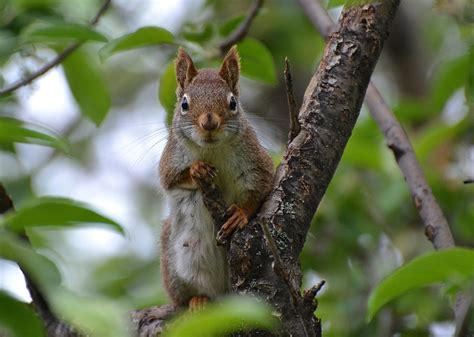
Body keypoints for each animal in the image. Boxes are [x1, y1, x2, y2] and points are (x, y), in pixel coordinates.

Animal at [159, 46, 274, 312]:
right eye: (184, 103)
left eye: (233, 102)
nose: (209, 122)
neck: (211, 151)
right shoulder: (169, 163)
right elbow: (171, 180)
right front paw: (197, 170)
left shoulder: (257, 165)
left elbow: (259, 191)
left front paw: (240, 214)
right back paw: (198, 300)